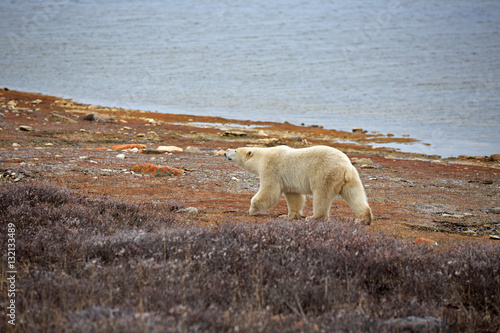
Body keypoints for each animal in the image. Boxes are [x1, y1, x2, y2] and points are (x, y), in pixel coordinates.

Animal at [225, 145, 374, 224]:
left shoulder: (271, 169)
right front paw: (289, 215)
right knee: (354, 194)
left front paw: (252, 209)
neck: (262, 157)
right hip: (351, 178)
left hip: (325, 174)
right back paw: (363, 219)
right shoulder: (289, 181)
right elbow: (294, 196)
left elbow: (269, 192)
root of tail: (345, 166)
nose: (226, 152)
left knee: (322, 195)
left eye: (235, 150)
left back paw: (314, 217)